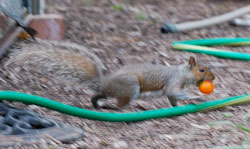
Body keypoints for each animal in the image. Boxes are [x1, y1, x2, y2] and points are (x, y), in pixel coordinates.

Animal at [6, 39, 215, 109]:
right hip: (131, 87)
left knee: (97, 96)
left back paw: (98, 104)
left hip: (111, 91)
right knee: (120, 106)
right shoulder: (173, 83)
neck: (181, 72)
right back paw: (126, 109)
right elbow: (175, 93)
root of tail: (104, 82)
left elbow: (173, 99)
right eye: (202, 70)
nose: (213, 78)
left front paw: (177, 107)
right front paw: (195, 97)